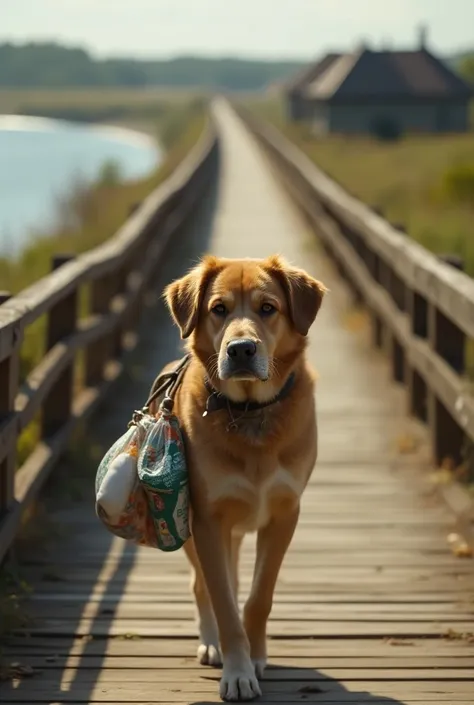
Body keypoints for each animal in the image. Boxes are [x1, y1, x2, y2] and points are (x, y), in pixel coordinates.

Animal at [156, 253, 326, 700]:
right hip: (190, 530)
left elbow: (258, 597)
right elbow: (223, 602)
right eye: (219, 309)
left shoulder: (285, 513)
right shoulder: (208, 521)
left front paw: (257, 654)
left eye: (268, 308)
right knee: (203, 587)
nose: (241, 349)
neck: (250, 411)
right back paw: (212, 642)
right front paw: (237, 669)